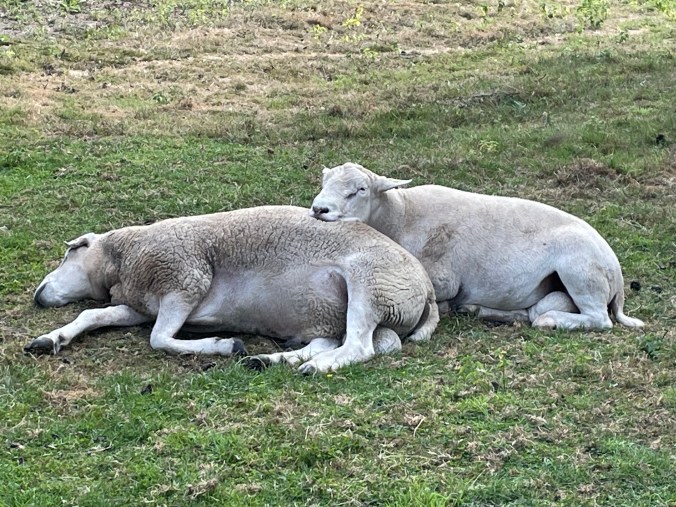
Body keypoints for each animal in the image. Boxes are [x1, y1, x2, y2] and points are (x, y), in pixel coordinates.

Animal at [26, 206, 439, 373]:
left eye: (70, 251)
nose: (37, 295)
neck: (124, 262)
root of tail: (428, 292)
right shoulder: (140, 305)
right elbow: (93, 313)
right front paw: (50, 339)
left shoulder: (186, 280)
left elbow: (159, 339)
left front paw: (225, 345)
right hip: (328, 313)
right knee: (333, 341)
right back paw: (271, 360)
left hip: (371, 285)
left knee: (359, 346)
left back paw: (313, 367)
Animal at [309, 163, 644, 331]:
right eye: (324, 182)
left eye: (360, 189)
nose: (319, 209)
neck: (402, 216)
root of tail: (616, 274)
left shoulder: (443, 279)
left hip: (580, 271)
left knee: (598, 319)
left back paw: (548, 320)